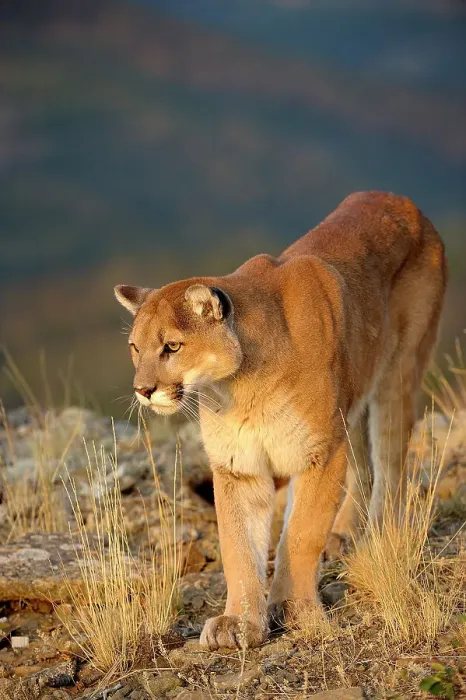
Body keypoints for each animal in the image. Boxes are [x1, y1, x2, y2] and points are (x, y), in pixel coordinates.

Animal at [115, 191, 446, 650]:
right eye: (134, 347)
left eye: (172, 347)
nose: (143, 389)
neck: (239, 389)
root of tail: (402, 201)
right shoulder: (238, 467)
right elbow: (238, 547)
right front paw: (240, 621)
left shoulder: (320, 454)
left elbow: (301, 534)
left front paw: (293, 609)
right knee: (365, 468)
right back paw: (345, 534)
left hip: (397, 377)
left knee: (391, 465)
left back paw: (378, 538)